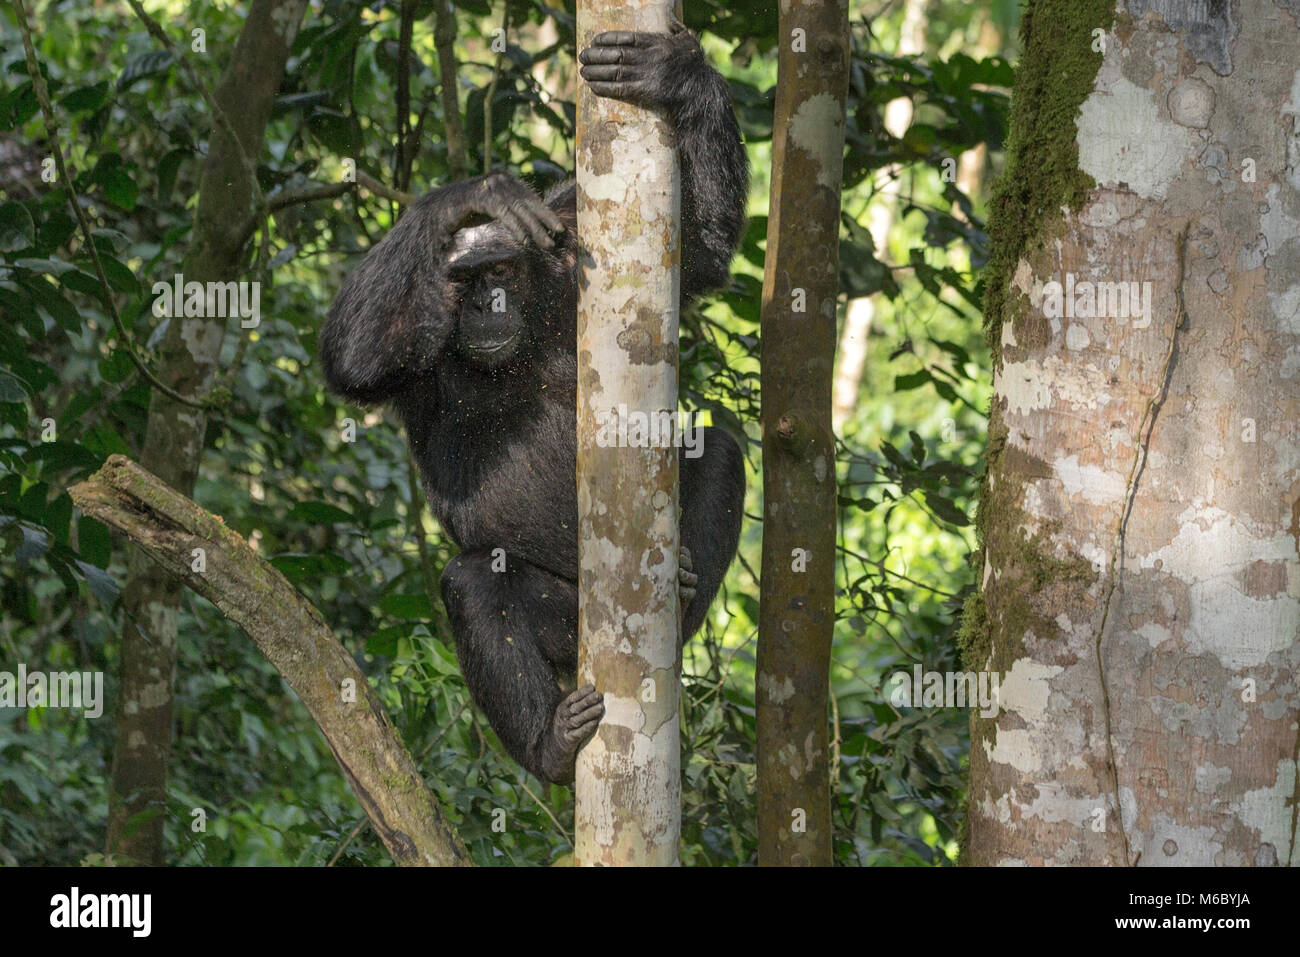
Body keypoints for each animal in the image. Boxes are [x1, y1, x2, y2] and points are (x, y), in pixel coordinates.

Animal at [323, 20, 748, 785]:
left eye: (499, 271)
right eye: (463, 280)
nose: (485, 302)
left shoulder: (575, 234)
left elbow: (700, 247)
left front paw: (677, 73)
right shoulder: (411, 357)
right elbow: (354, 356)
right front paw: (471, 195)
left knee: (721, 448)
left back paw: (684, 590)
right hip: (560, 619)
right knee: (473, 583)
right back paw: (549, 745)